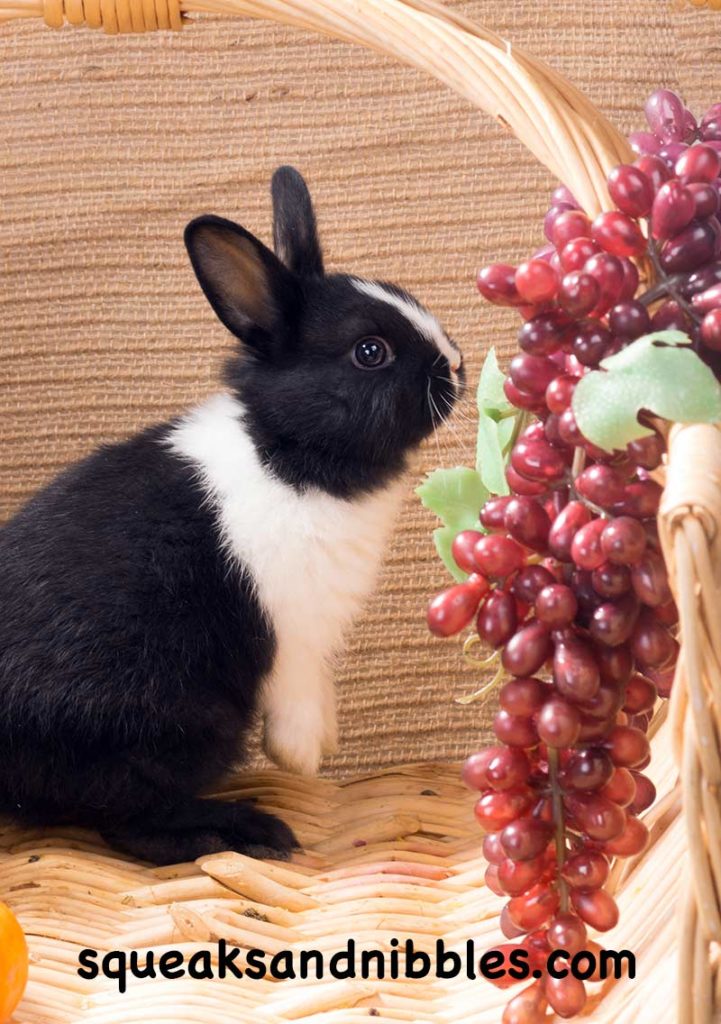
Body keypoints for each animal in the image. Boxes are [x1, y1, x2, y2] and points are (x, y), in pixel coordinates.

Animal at [0, 167, 463, 866]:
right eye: (370, 351)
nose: (457, 365)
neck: (286, 447)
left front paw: (324, 743)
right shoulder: (292, 631)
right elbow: (297, 694)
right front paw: (303, 757)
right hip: (174, 726)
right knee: (134, 823)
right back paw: (245, 833)